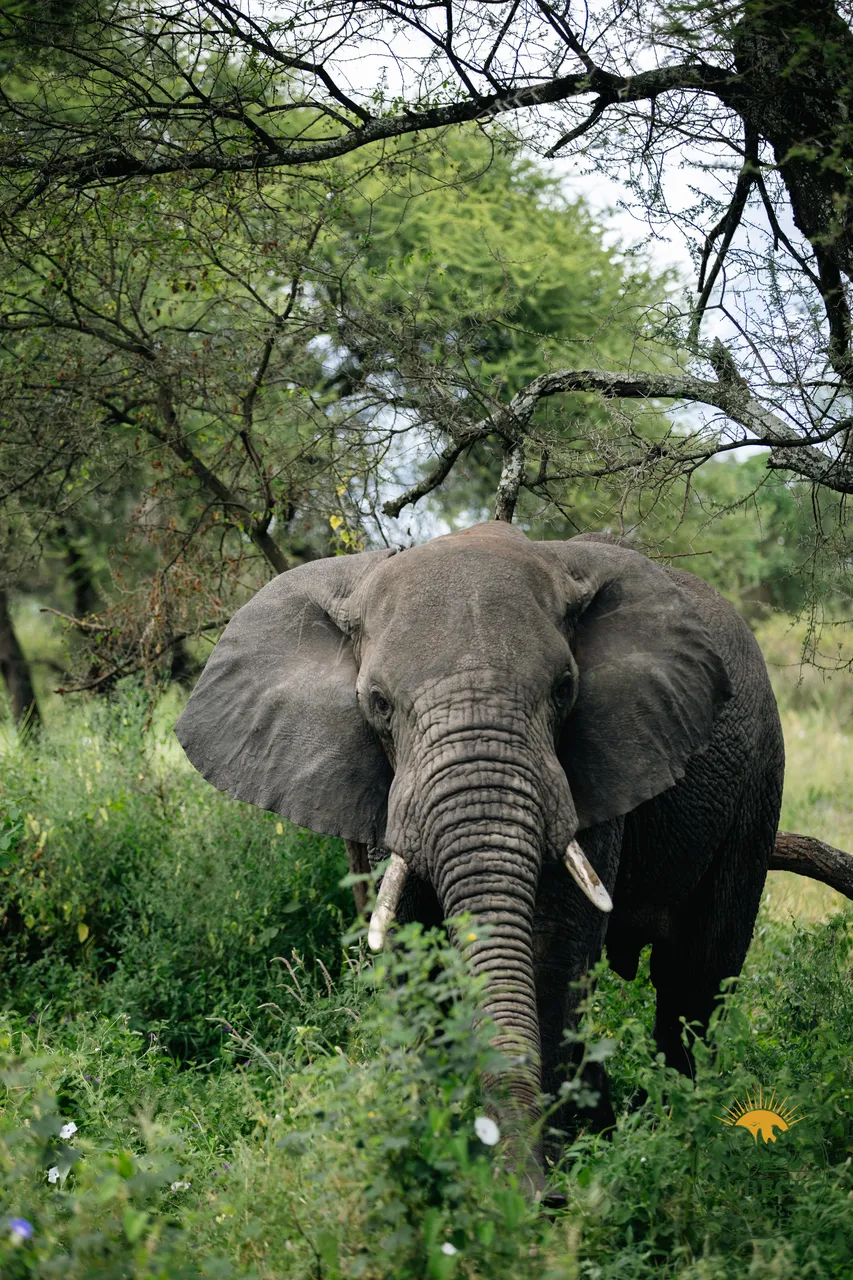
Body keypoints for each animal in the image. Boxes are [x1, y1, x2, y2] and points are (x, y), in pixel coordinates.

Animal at [174, 519, 787, 1189]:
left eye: (565, 689)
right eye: (378, 704)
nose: (528, 1190)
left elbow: (552, 951)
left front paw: (547, 1185)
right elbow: (411, 954)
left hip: (758, 780)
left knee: (695, 978)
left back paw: (676, 1130)